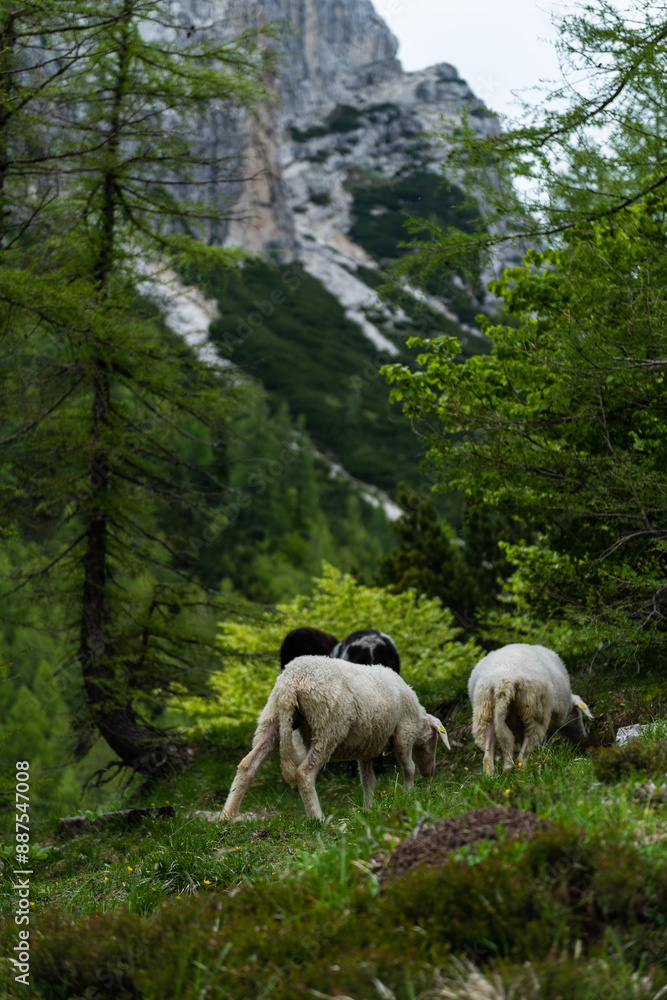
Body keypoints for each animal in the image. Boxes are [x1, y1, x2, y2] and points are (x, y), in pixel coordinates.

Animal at [221, 654, 450, 821]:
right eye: (434, 740)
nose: (430, 772)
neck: (418, 716)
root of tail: (292, 681)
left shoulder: (366, 745)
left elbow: (369, 780)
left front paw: (369, 809)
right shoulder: (404, 733)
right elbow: (409, 768)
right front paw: (409, 797)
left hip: (273, 718)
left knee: (247, 765)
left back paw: (227, 817)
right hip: (328, 725)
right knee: (304, 773)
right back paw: (318, 820)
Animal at [468, 643, 593, 774]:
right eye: (578, 713)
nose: (584, 741)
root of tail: (504, 680)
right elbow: (546, 740)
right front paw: (545, 753)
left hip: (484, 709)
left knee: (488, 753)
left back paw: (494, 773)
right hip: (535, 711)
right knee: (522, 755)